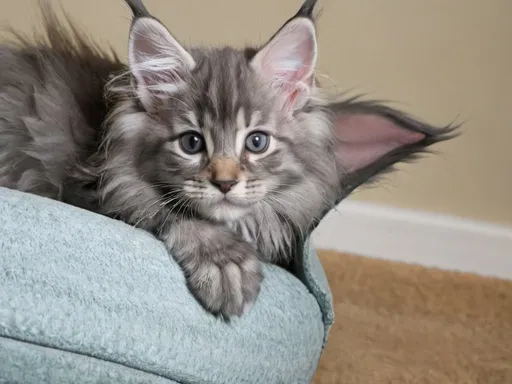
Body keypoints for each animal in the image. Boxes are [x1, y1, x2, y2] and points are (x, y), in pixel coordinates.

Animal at [0, 0, 456, 318]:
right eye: (191, 143)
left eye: (256, 142)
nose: (224, 182)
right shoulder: (98, 191)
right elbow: (175, 213)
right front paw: (226, 266)